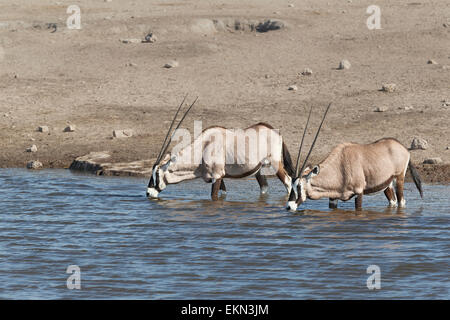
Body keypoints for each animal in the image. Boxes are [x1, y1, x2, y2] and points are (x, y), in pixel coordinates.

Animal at [146, 96, 298, 200]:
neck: (203, 148)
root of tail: (274, 130)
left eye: (157, 175)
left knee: (288, 182)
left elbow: (213, 196)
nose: (148, 193)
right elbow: (223, 194)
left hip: (275, 163)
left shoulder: (217, 175)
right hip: (258, 170)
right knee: (264, 187)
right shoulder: (218, 177)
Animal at [286, 104, 424, 211]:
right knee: (393, 201)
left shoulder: (359, 192)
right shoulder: (333, 198)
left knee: (401, 201)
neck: (339, 166)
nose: (289, 206)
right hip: (387, 185)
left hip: (399, 178)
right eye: (291, 185)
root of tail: (403, 147)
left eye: (299, 186)